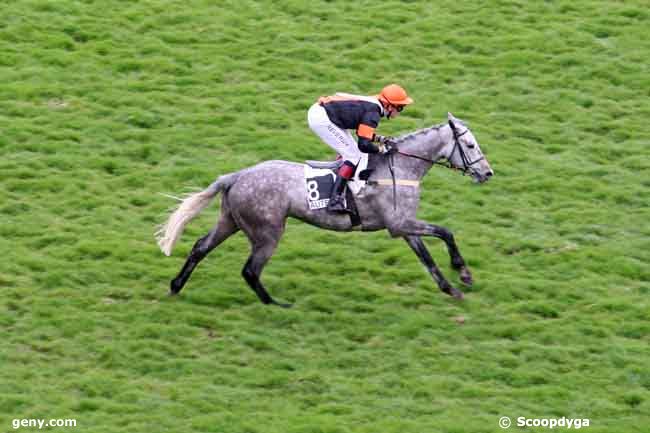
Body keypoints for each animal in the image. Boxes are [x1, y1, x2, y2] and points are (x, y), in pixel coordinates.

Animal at [157, 112, 492, 308]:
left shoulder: (404, 226)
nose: (487, 173)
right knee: (250, 270)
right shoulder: (400, 224)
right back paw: (277, 305)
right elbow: (445, 232)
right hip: (267, 231)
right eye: (470, 146)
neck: (401, 167)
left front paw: (452, 288)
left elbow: (428, 259)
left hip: (232, 221)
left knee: (200, 247)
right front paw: (463, 273)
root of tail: (236, 176)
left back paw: (175, 286)